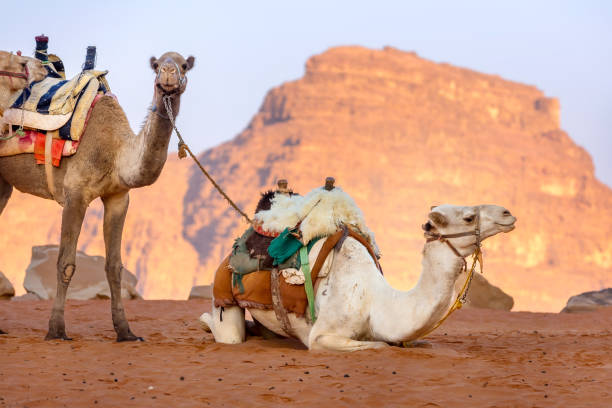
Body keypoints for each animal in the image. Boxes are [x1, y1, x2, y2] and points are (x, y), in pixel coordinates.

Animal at [0, 51, 194, 342]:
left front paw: (125, 331)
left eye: (184, 65)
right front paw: (56, 330)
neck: (116, 152)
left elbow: (114, 266)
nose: (169, 75)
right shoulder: (75, 194)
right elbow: (66, 263)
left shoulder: (118, 197)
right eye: (157, 65)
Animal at [198, 198, 512, 350]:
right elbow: (380, 346)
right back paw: (205, 321)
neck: (377, 302)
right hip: (223, 295)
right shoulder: (322, 336)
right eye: (469, 217)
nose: (508, 213)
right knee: (228, 333)